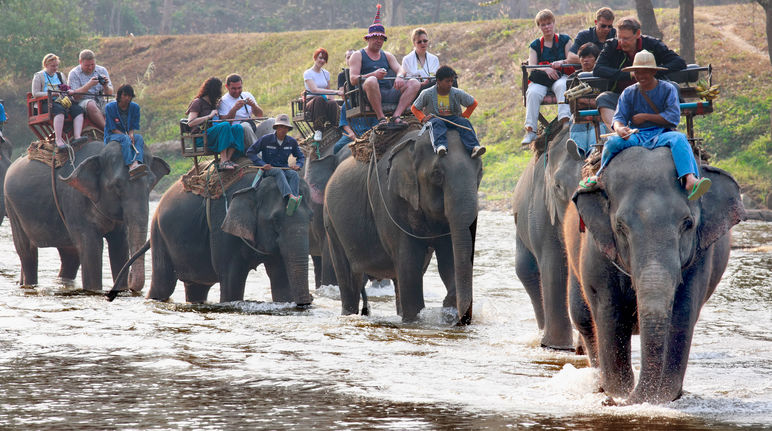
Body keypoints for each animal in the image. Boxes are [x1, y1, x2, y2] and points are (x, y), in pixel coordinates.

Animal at [4, 142, 170, 294]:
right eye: (117, 185)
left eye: (151, 183)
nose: (130, 283)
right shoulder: (74, 201)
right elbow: (91, 247)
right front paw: (94, 291)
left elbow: (120, 245)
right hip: (11, 207)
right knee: (27, 252)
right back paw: (29, 284)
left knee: (69, 257)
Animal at [145, 167, 314, 306]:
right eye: (275, 221)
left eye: (310, 219)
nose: (311, 299)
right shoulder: (222, 226)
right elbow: (232, 279)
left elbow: (281, 279)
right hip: (158, 232)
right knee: (163, 284)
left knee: (197, 287)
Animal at [322, 130, 480, 322]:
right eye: (436, 174)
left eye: (480, 171)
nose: (461, 318)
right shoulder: (389, 201)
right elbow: (409, 264)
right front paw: (415, 321)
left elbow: (448, 259)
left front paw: (448, 307)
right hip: (331, 222)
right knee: (349, 277)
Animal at [560, 148, 748, 404]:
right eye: (620, 227)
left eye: (688, 224)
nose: (630, 399)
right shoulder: (596, 250)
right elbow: (609, 312)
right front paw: (619, 394)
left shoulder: (701, 258)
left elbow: (683, 313)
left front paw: (663, 397)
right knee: (584, 317)